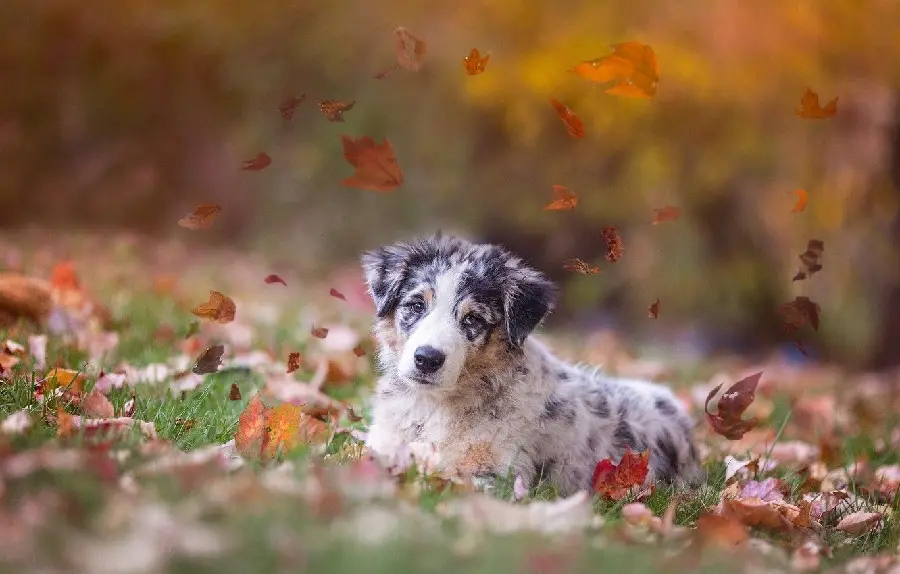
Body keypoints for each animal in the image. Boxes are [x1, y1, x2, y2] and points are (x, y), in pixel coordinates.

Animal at [358, 234, 704, 500]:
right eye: (416, 305)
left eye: (473, 319)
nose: (427, 359)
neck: (433, 407)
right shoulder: (382, 444)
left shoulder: (500, 474)